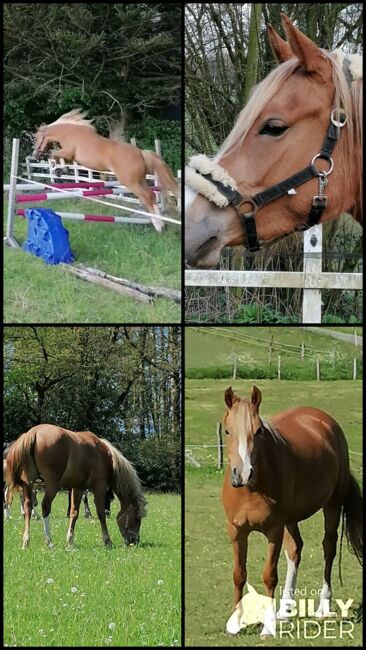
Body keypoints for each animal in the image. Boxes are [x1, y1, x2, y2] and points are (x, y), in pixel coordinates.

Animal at [5, 422, 147, 548]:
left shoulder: (78, 487)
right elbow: (100, 512)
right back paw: (49, 541)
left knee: (27, 507)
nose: (134, 541)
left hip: (28, 483)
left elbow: (74, 513)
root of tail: (32, 433)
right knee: (45, 507)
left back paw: (26, 541)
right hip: (51, 485)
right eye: (137, 519)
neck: (106, 456)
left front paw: (70, 541)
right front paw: (107, 541)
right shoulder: (99, 486)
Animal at [33, 110, 179, 232]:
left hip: (131, 183)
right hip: (141, 180)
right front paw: (63, 170)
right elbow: (58, 157)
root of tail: (141, 153)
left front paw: (58, 169)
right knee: (151, 196)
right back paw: (161, 223)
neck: (70, 132)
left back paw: (159, 226)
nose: (35, 155)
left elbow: (54, 156)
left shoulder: (68, 153)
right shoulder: (69, 155)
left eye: (36, 138)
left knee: (146, 197)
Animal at [222, 384, 362, 632]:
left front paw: (268, 627)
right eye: (228, 431)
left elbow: (269, 575)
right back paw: (285, 611)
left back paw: (322, 607)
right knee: (295, 550)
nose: (243, 473)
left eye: (258, 431)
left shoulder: (274, 531)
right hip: (291, 520)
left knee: (328, 548)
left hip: (332, 505)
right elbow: (239, 574)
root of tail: (324, 420)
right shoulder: (236, 531)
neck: (251, 490)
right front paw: (234, 624)